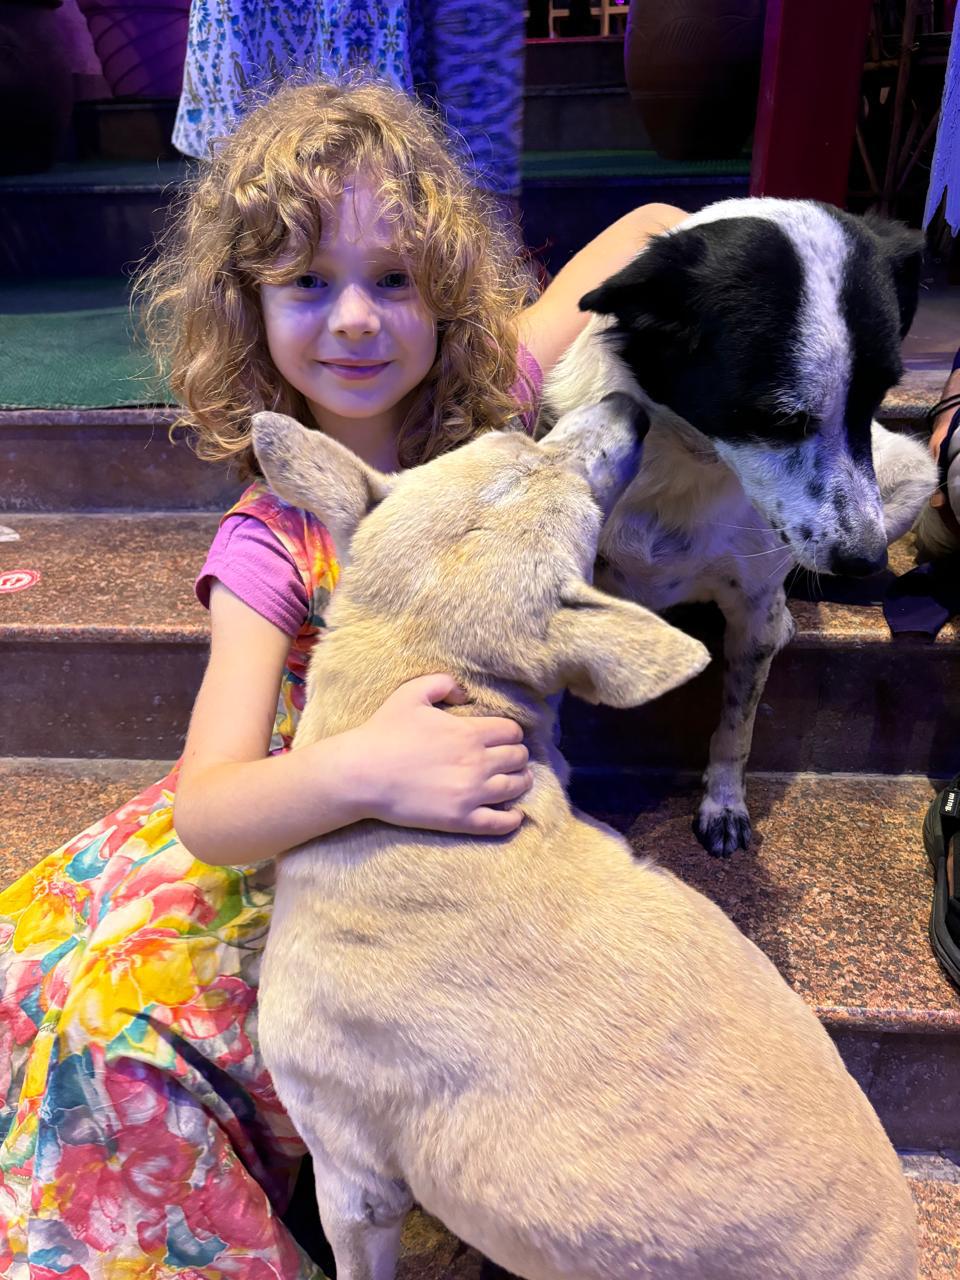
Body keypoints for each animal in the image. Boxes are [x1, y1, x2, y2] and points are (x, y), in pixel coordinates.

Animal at [545, 199, 936, 855]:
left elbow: (737, 726)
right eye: (776, 418)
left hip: (913, 476)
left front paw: (724, 805)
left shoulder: (749, 612)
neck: (691, 459)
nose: (867, 561)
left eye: (876, 399)